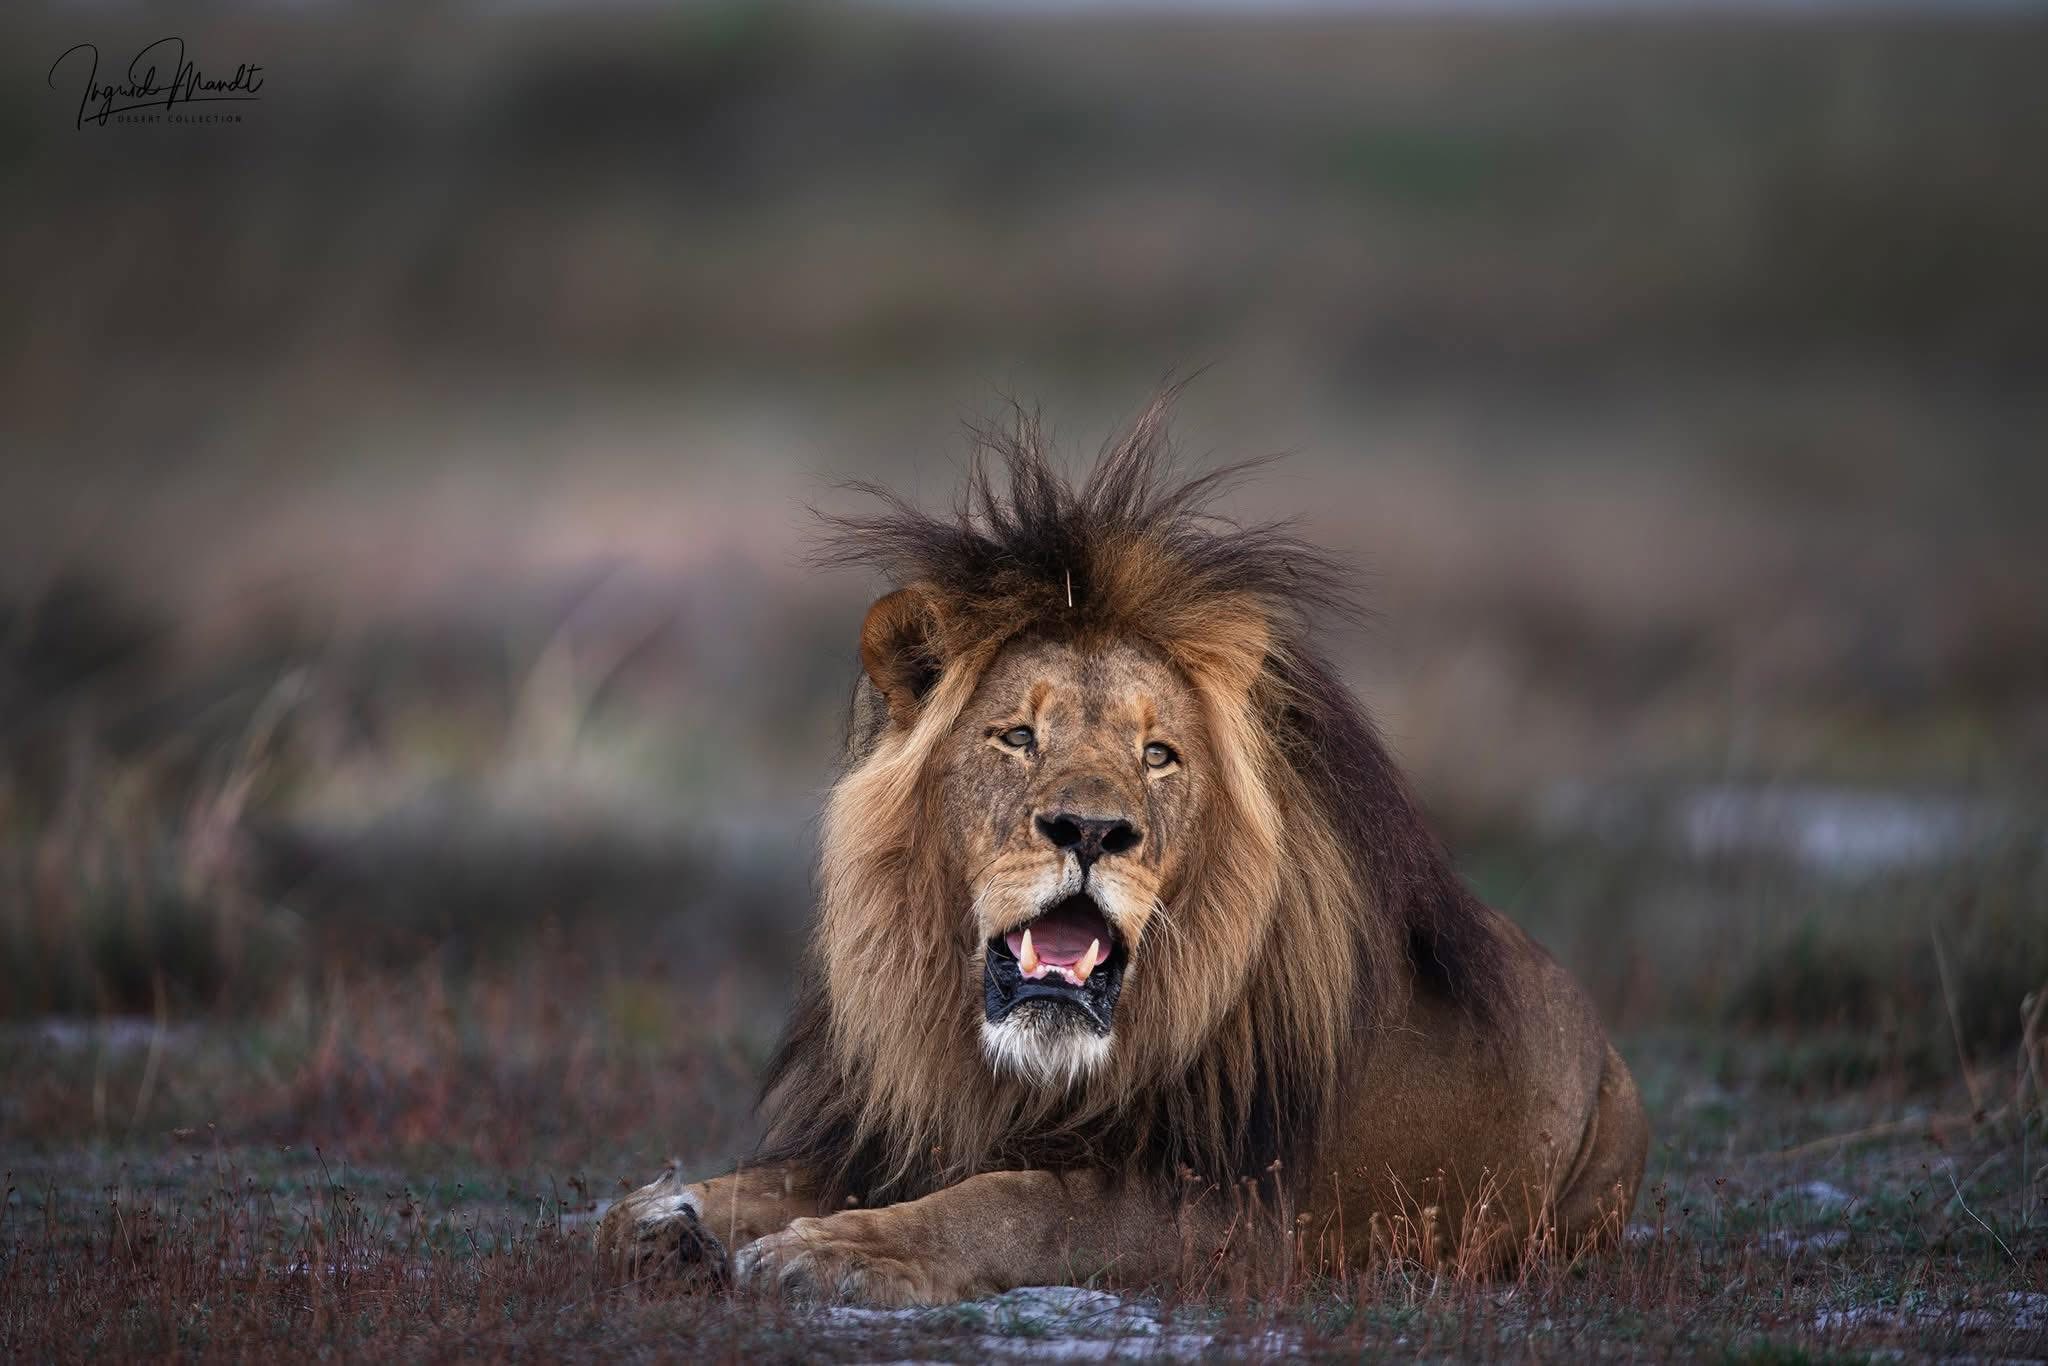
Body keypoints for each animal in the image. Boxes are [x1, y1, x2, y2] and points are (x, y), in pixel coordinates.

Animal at [597, 397, 1647, 1304]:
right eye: (1019, 737)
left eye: (1159, 756)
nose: (1093, 831)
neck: (1019, 1077)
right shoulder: (900, 1129)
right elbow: (723, 1190)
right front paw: (669, 1217)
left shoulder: (1225, 1211)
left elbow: (1011, 1206)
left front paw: (836, 1254)